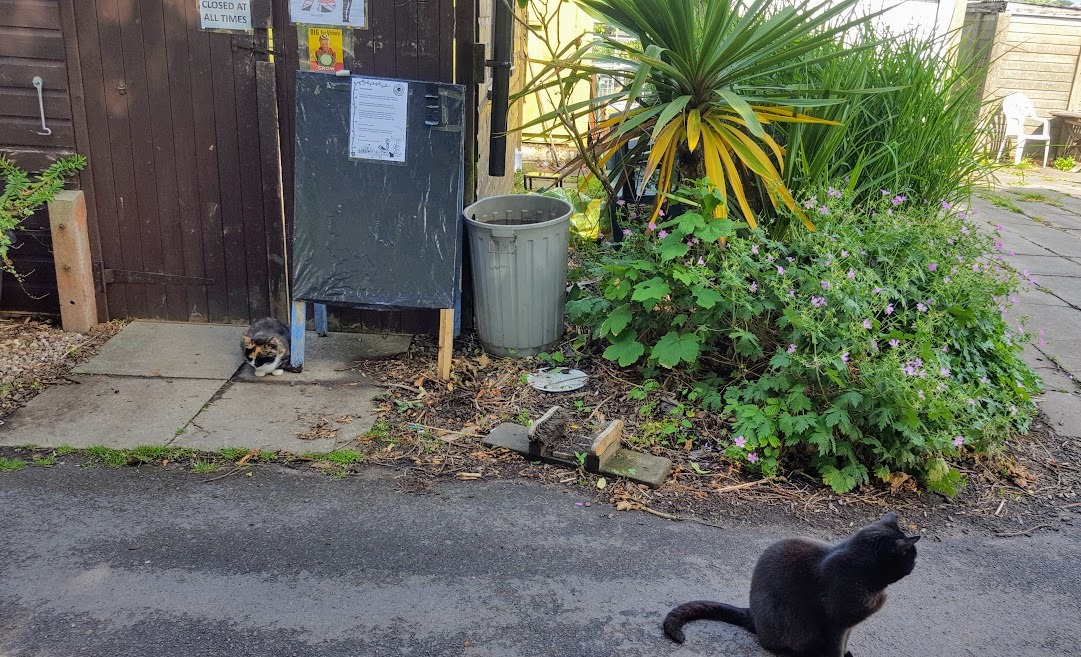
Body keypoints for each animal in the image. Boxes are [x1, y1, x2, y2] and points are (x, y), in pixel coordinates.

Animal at [661, 514, 916, 657]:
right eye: (911, 555)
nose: (916, 562)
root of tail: (751, 614)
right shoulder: (836, 622)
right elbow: (836, 647)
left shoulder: (849, 625)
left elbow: (845, 643)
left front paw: (848, 652)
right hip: (785, 622)